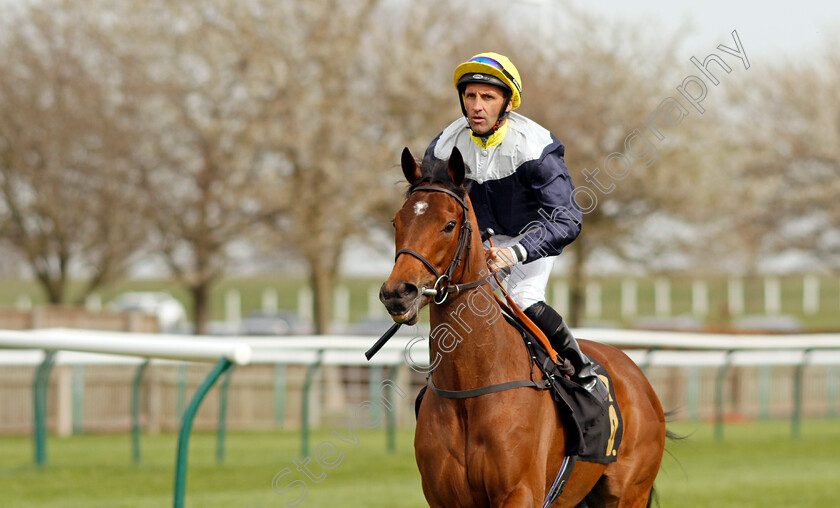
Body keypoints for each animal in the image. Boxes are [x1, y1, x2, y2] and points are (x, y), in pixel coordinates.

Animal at [378, 145, 664, 506]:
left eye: (449, 224)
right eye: (397, 221)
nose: (398, 292)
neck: (469, 389)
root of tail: (637, 374)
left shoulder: (520, 491)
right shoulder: (442, 496)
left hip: (628, 493)